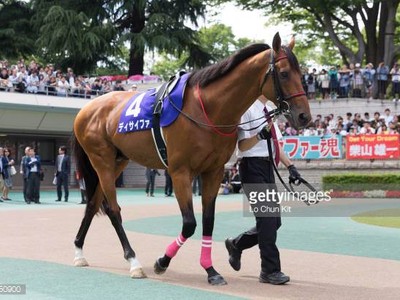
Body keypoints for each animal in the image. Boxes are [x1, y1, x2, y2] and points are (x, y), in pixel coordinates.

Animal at [72, 32, 310, 286]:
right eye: (284, 73)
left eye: (301, 74)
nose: (304, 116)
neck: (207, 110)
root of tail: (85, 109)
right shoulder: (180, 172)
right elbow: (189, 224)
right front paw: (162, 262)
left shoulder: (214, 172)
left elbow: (208, 220)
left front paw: (211, 270)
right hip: (102, 160)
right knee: (113, 209)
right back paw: (133, 261)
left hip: (118, 161)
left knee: (93, 204)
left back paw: (79, 252)